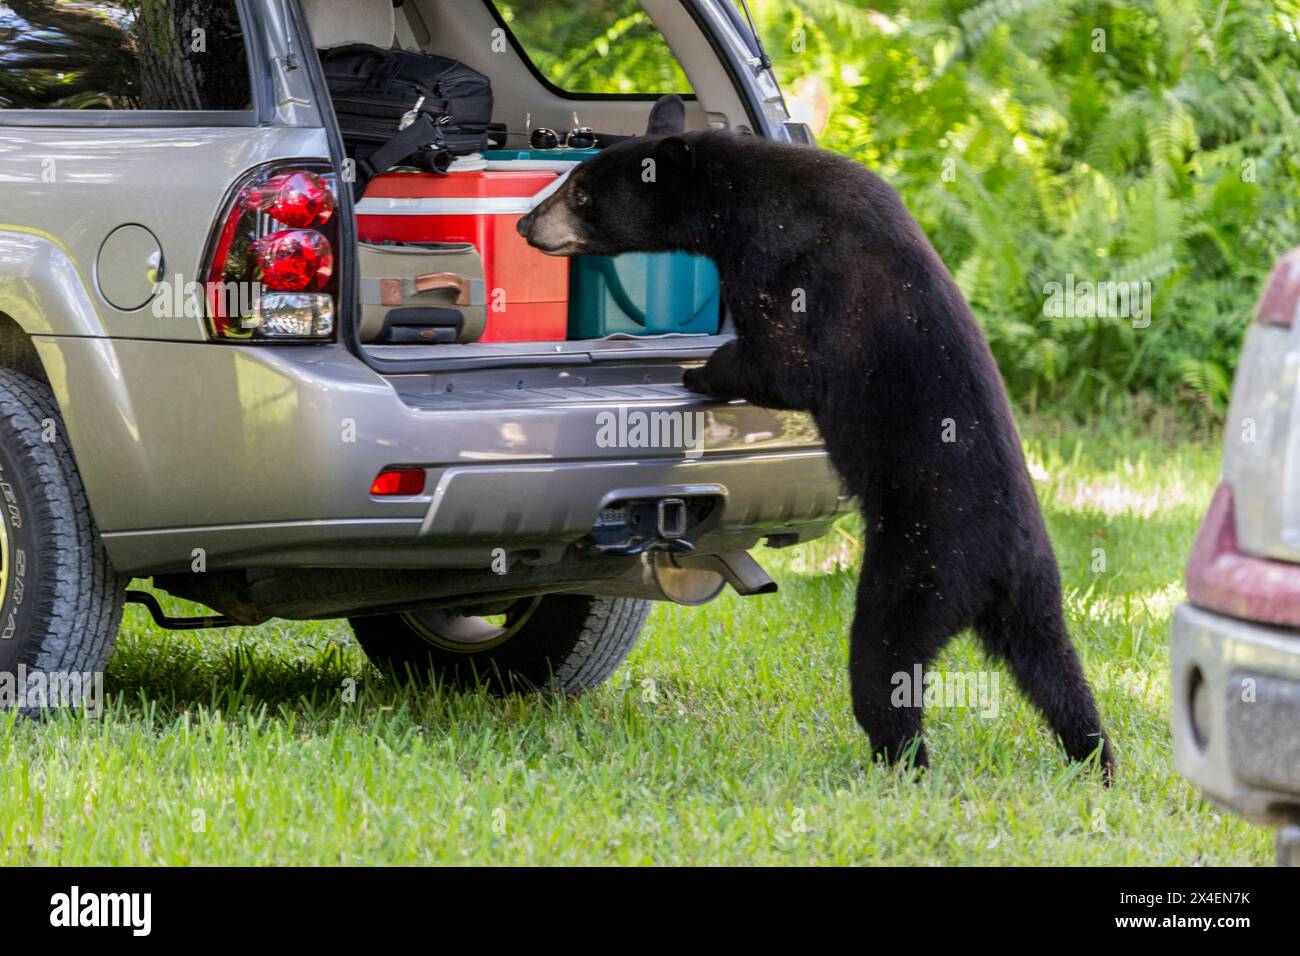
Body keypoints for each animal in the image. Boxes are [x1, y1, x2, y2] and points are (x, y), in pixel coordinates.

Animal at [522, 95, 1112, 780]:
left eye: (581, 192)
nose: (526, 224)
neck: (740, 200)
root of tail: (999, 567)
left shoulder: (784, 259)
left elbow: (786, 364)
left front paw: (700, 369)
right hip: (1038, 595)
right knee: (1055, 671)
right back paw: (1095, 759)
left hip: (922, 566)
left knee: (885, 661)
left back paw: (902, 760)